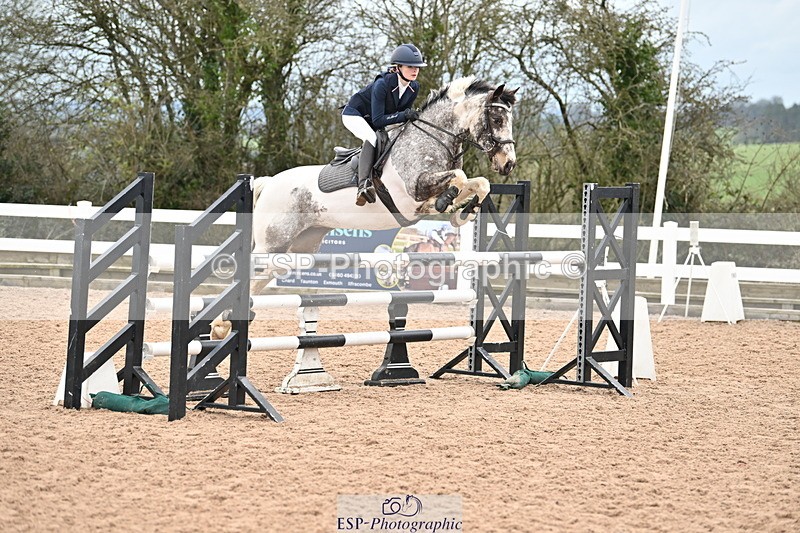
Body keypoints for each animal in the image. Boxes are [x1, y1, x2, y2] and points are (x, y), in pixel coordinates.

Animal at [251, 76, 518, 256]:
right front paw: (444, 202)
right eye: (497, 119)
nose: (509, 164)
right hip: (271, 245)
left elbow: (480, 183)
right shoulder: (415, 189)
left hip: (302, 244)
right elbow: (459, 178)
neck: (433, 137)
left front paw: (463, 212)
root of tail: (270, 182)